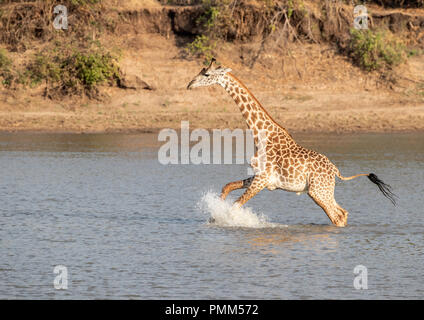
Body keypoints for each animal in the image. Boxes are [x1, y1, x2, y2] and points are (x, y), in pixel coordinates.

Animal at [187, 58, 396, 226]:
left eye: (206, 74)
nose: (189, 84)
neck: (261, 134)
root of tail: (335, 171)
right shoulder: (261, 177)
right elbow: (227, 186)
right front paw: (213, 216)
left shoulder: (262, 179)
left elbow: (236, 206)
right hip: (324, 191)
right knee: (342, 213)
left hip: (317, 191)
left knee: (337, 216)